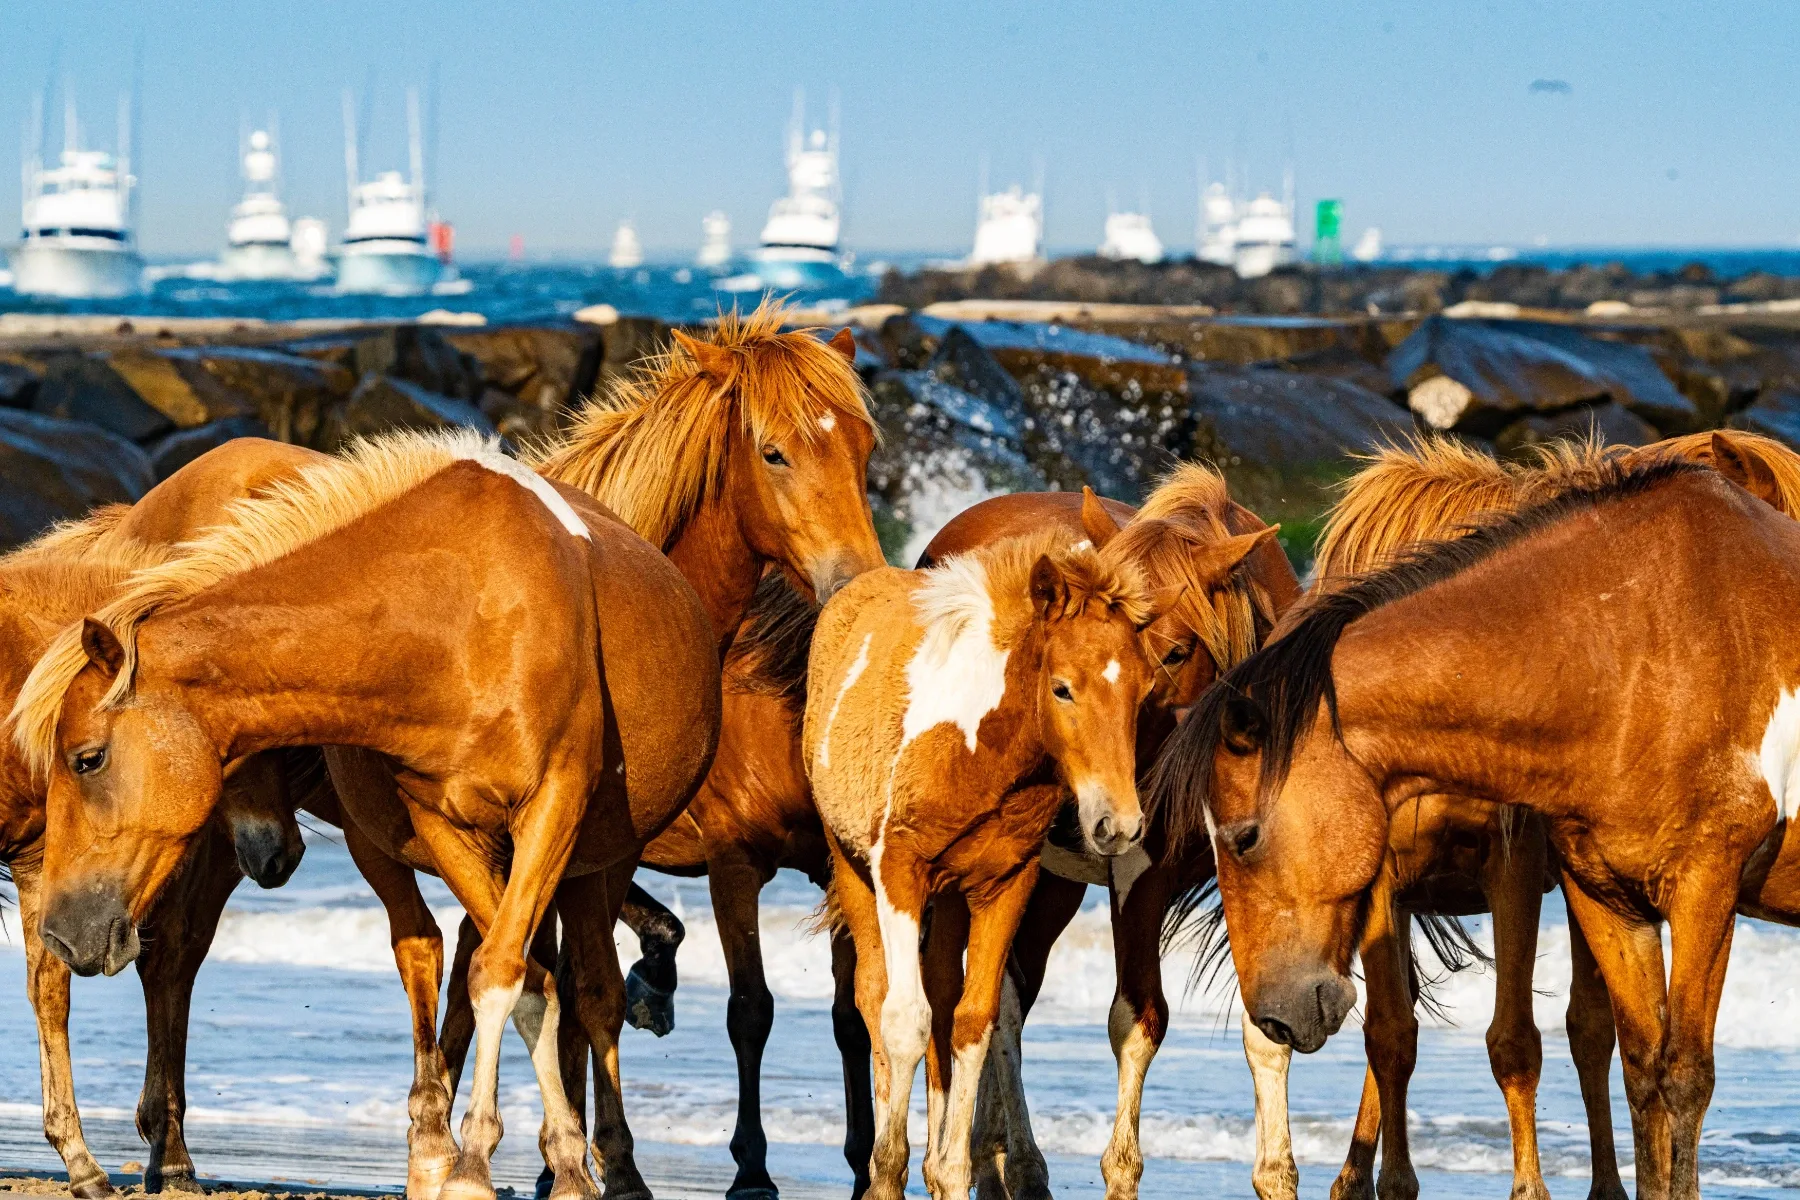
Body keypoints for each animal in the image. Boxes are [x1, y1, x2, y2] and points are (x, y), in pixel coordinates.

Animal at [804, 531, 1159, 1200]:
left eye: (1144, 689)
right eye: (1062, 687)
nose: (1118, 824)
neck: (980, 751)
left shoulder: (1006, 883)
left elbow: (972, 1020)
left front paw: (950, 1171)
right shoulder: (899, 871)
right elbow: (904, 1018)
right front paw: (888, 1171)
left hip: (948, 897)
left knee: (943, 992)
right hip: (852, 866)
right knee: (874, 995)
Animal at [1150, 456, 1800, 1200]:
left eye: (1246, 836)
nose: (1274, 1019)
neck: (1640, 647)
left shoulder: (1701, 891)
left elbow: (1680, 1076)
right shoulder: (1605, 899)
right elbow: (1640, 1072)